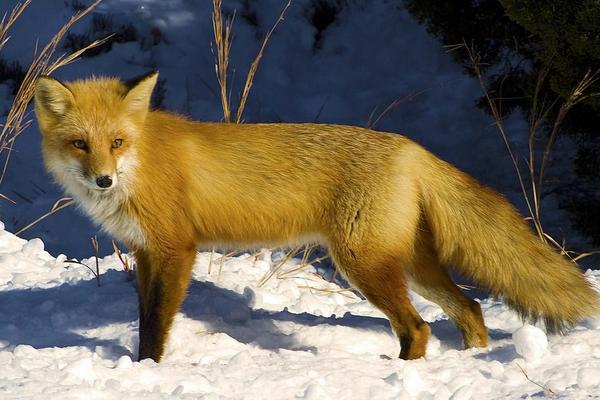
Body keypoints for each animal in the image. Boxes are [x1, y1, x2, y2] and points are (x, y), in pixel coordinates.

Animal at [35, 72, 596, 362]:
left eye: (117, 143)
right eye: (80, 144)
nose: (103, 180)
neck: (143, 163)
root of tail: (408, 146)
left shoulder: (177, 250)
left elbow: (155, 326)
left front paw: (149, 370)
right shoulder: (147, 252)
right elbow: (143, 319)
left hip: (362, 264)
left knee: (418, 328)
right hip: (410, 266)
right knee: (471, 309)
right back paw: (471, 359)